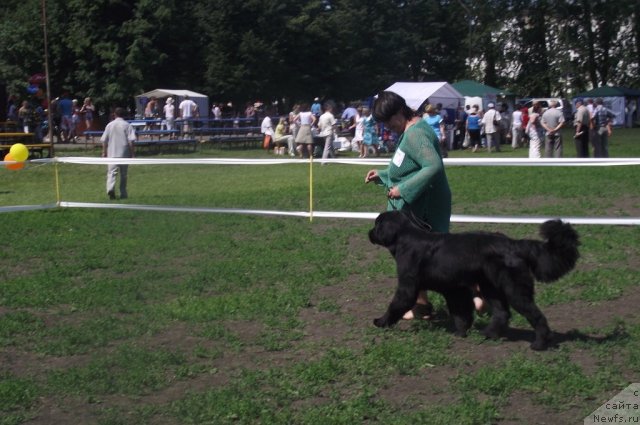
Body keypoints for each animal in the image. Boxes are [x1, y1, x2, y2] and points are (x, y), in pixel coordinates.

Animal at [364, 210, 580, 352]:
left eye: (376, 224)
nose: (369, 233)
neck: (406, 238)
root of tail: (513, 244)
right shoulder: (454, 289)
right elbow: (461, 313)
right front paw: (461, 332)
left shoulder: (408, 286)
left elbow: (396, 304)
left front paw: (381, 321)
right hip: (490, 287)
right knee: (502, 312)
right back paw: (489, 333)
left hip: (514, 289)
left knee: (536, 316)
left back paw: (539, 344)